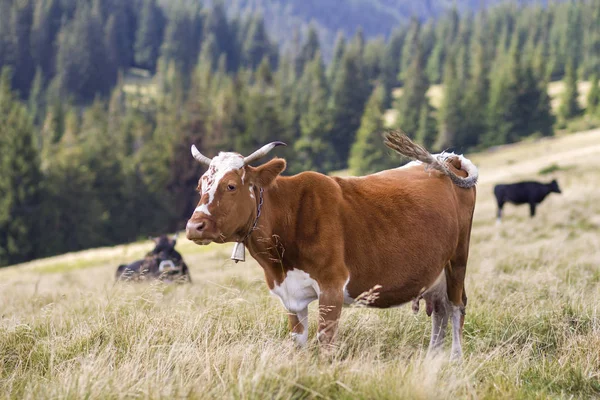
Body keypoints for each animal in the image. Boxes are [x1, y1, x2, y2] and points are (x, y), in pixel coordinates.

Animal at [185, 131, 476, 360]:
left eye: (231, 186)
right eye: (200, 186)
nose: (193, 226)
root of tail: (447, 158)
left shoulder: (332, 286)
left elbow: (325, 343)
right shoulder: (291, 297)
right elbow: (298, 344)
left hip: (457, 260)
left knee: (455, 306)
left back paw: (455, 360)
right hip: (435, 269)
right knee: (439, 310)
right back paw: (432, 359)